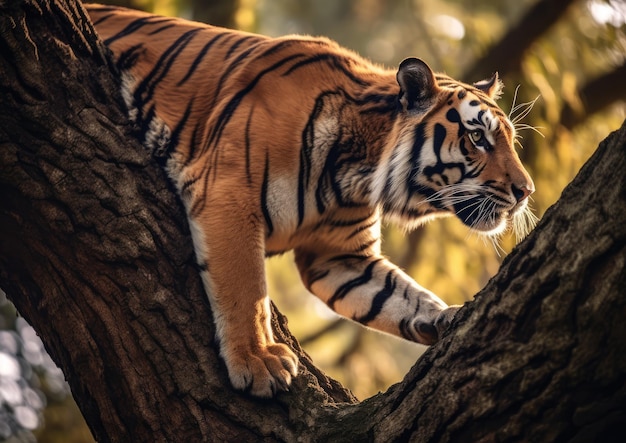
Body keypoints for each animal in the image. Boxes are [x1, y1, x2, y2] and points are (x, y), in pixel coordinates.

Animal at [86, 3, 536, 398]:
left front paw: (448, 315)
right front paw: (258, 361)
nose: (526, 191)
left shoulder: (340, 256)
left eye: (510, 139)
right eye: (478, 137)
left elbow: (400, 295)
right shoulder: (229, 194)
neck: (359, 171)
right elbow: (245, 286)